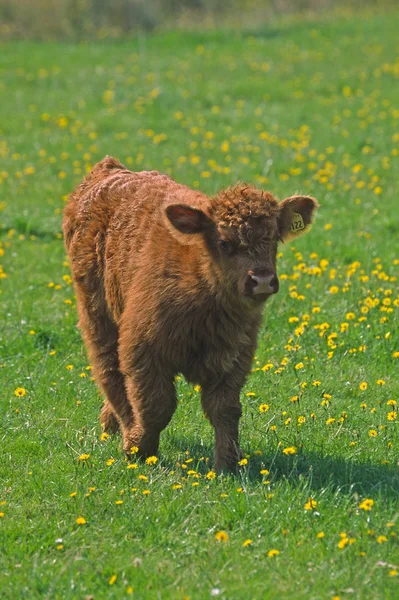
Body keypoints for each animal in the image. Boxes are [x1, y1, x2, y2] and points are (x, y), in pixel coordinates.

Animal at [63, 157, 318, 472]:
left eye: (273, 239)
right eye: (224, 242)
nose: (261, 279)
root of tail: (111, 170)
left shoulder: (234, 355)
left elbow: (225, 409)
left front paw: (227, 463)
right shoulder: (142, 348)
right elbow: (155, 404)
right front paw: (139, 449)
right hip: (97, 314)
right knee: (109, 371)